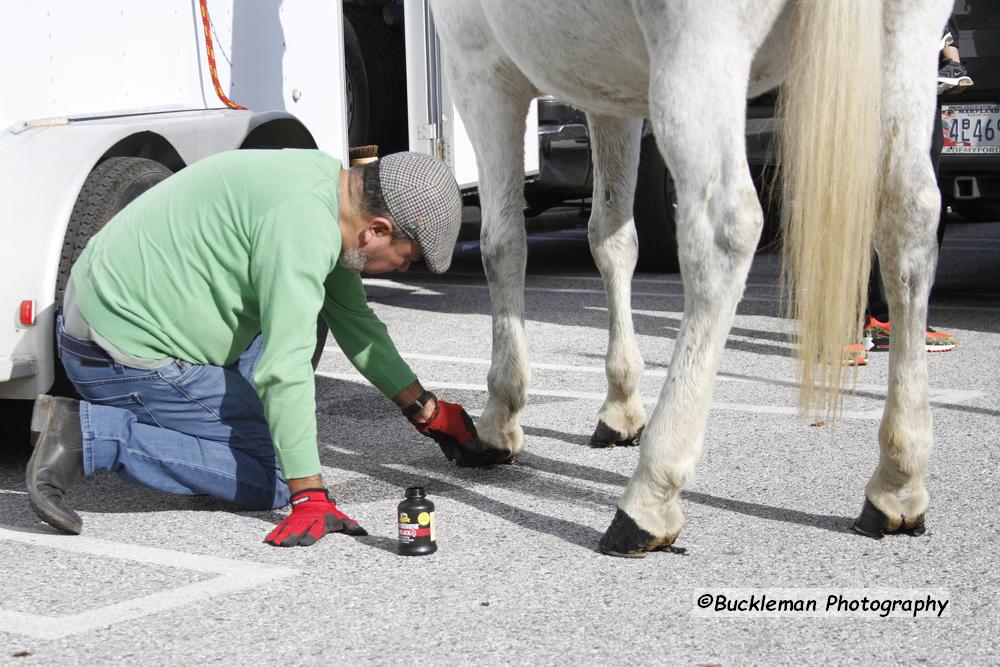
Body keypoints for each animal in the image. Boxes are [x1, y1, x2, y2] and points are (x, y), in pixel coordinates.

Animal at [428, 0, 952, 556]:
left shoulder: (480, 67)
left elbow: (502, 244)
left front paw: (498, 420)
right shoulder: (607, 92)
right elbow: (612, 240)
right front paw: (620, 407)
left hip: (700, 53)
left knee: (725, 231)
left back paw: (648, 498)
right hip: (903, 43)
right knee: (910, 215)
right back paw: (897, 484)